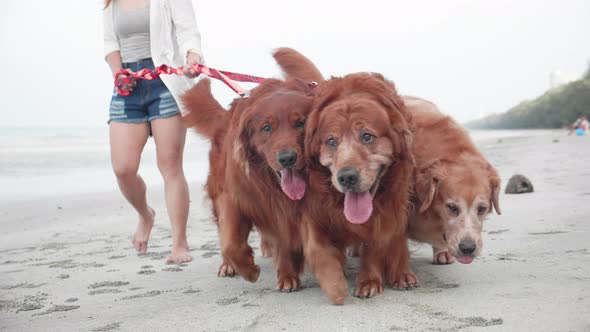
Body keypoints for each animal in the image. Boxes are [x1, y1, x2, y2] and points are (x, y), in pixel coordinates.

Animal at [183, 48, 324, 290]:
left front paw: (287, 274)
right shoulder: (236, 195)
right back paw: (228, 265)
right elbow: (231, 241)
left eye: (300, 123)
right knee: (223, 232)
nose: (287, 158)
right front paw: (249, 270)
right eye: (266, 128)